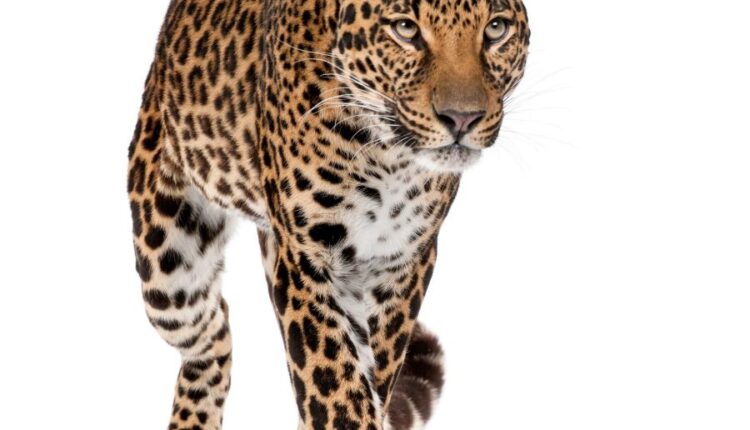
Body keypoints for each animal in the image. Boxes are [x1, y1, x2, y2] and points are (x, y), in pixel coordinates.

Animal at [127, 0, 530, 429]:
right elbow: (335, 385)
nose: (462, 119)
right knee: (212, 335)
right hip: (168, 270)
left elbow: (371, 373)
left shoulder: (404, 262)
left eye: (496, 29)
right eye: (406, 29)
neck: (389, 158)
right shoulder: (306, 260)